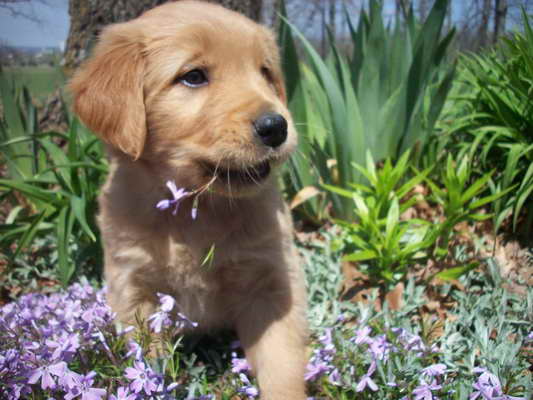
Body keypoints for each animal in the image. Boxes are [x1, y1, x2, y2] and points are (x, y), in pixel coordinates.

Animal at [69, 1, 308, 398]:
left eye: (265, 72)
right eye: (193, 76)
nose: (277, 126)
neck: (198, 210)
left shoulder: (271, 283)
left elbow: (282, 365)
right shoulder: (135, 289)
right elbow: (147, 362)